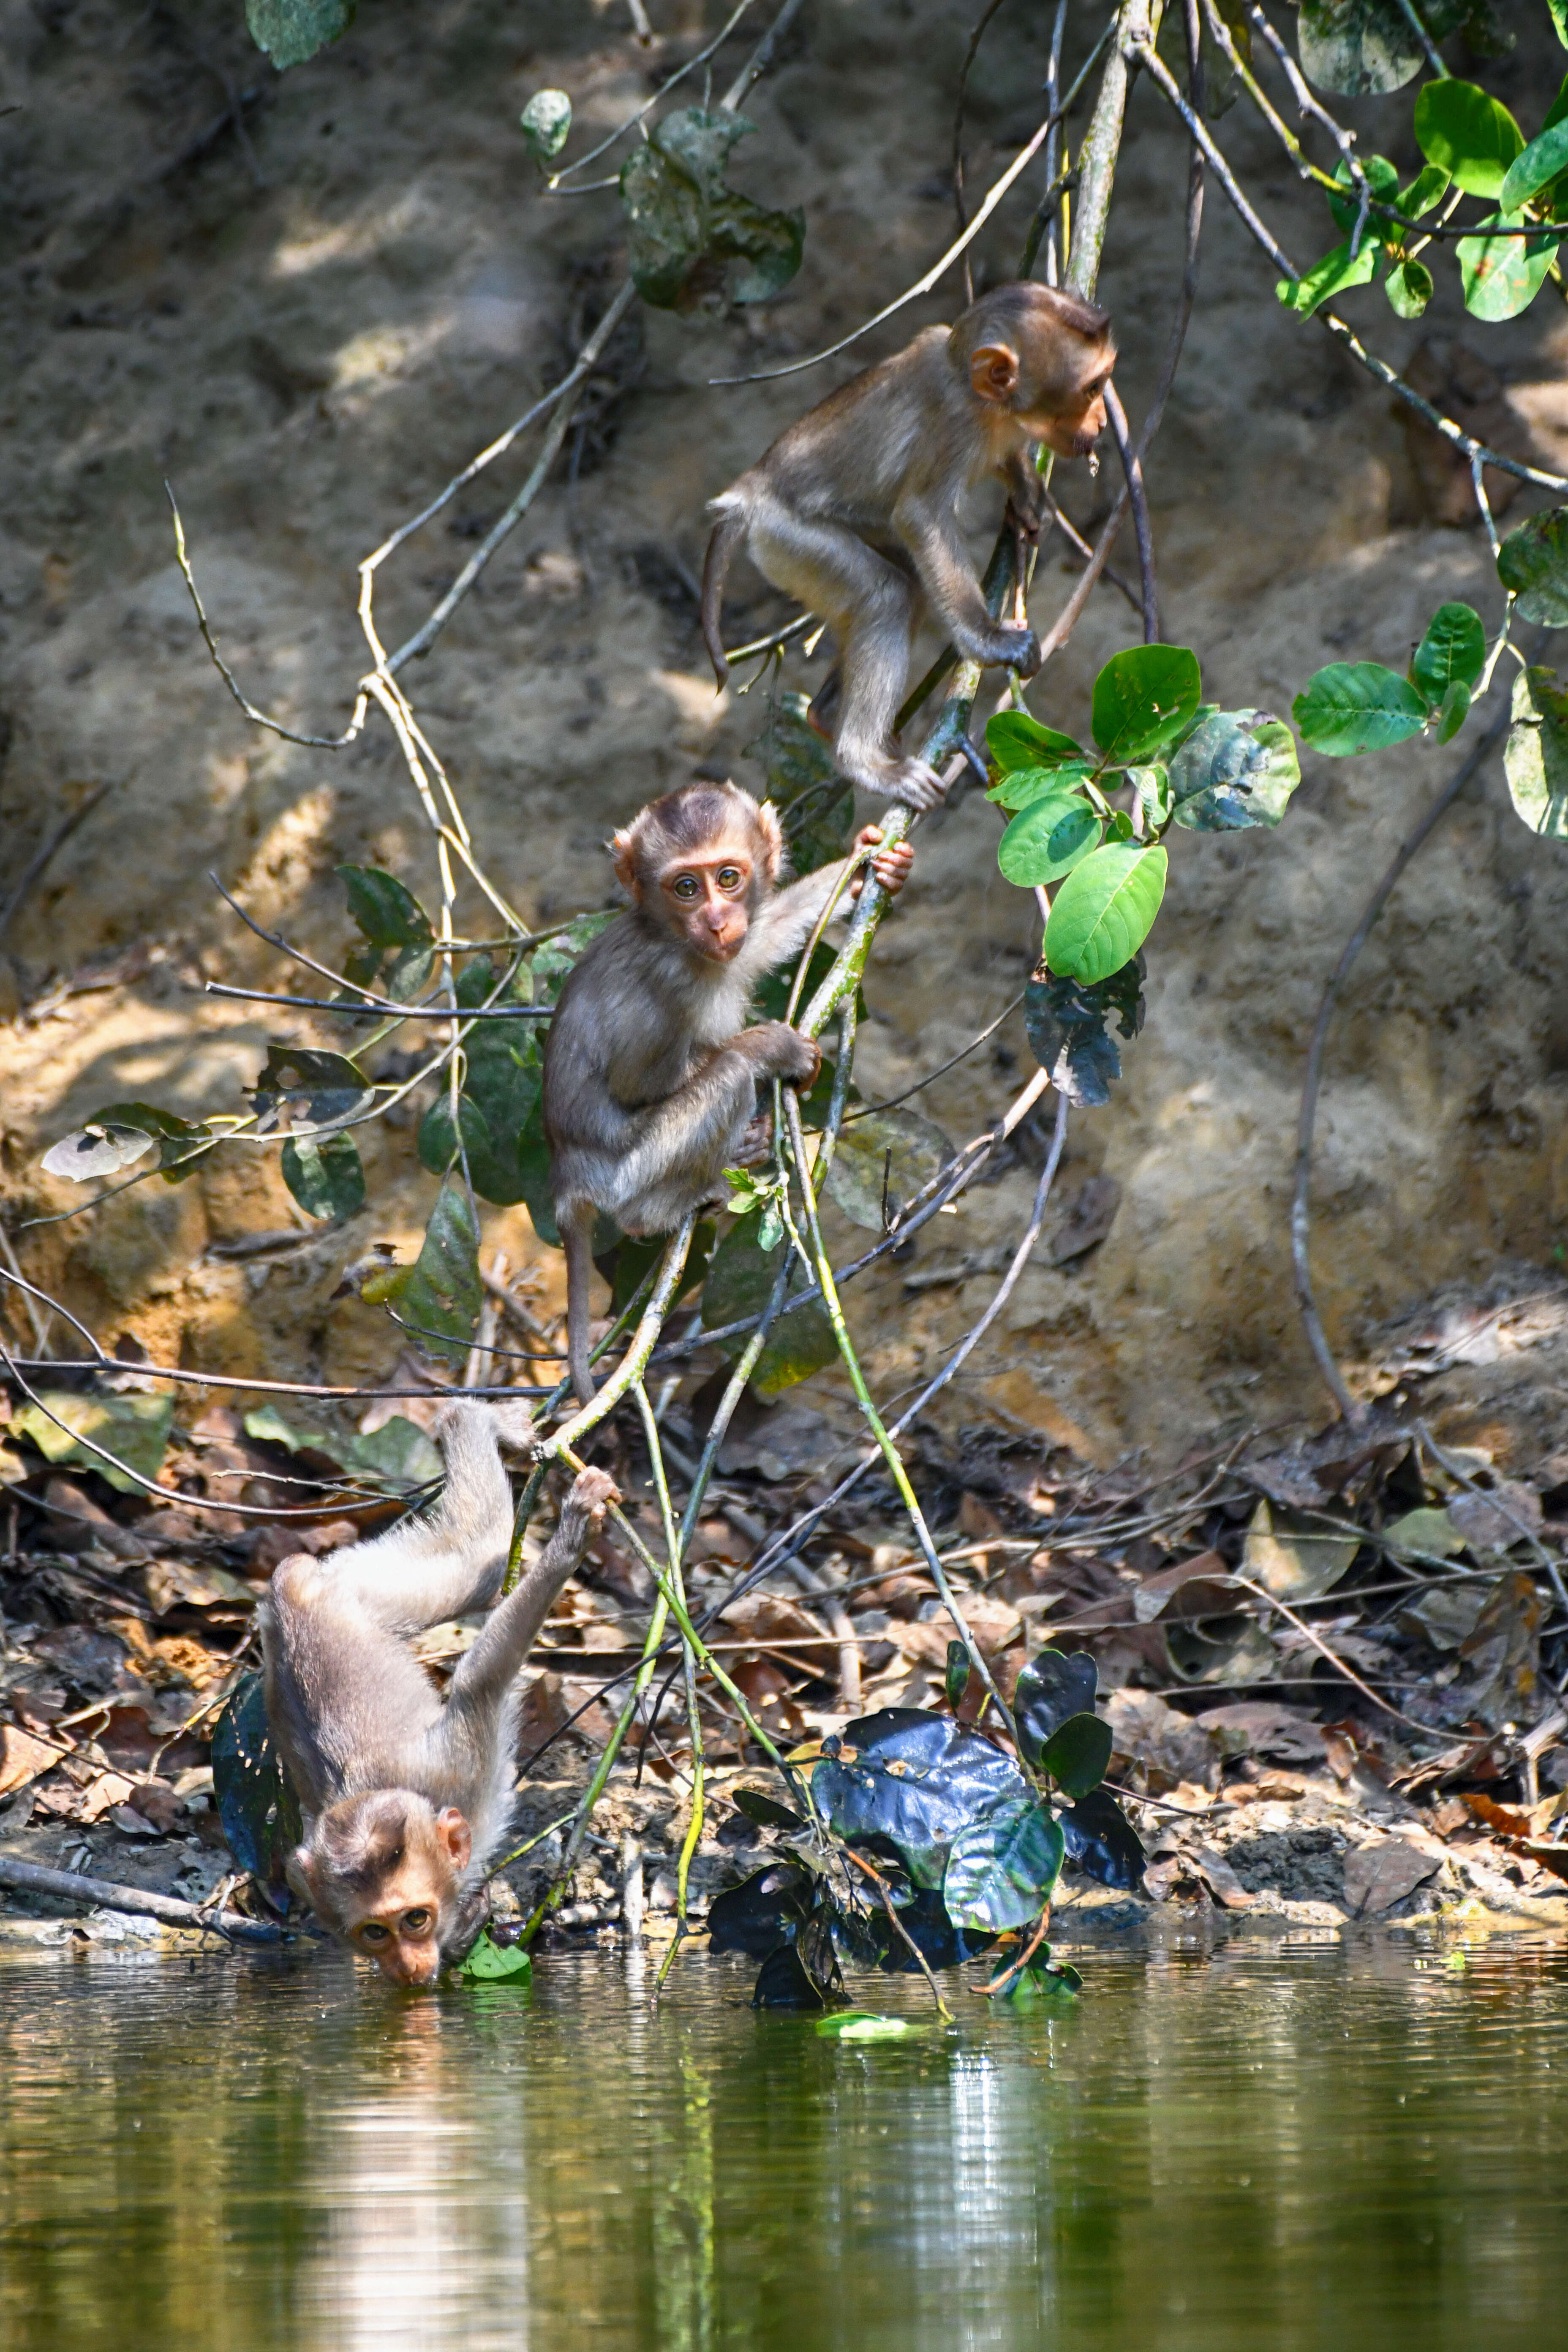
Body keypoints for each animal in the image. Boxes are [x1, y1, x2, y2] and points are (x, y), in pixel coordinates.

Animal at [259, 1392, 621, 1985]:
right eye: (374, 1933)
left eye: (415, 1920)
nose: (406, 1969)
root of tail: (294, 1593)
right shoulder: (299, 1870)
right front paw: (467, 1928)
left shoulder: (465, 1769)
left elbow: (481, 1677)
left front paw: (571, 1538)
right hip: (343, 1586)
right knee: (475, 1564)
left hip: (353, 1591)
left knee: (479, 1560)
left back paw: (475, 1419)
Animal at [541, 776, 912, 1392]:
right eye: (686, 888)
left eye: (729, 879)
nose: (716, 921)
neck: (671, 938)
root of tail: (567, 1174)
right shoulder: (668, 980)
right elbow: (638, 1084)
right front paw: (772, 1048)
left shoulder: (730, 947)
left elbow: (764, 936)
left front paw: (869, 864)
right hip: (626, 1171)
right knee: (725, 1080)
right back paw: (666, 1207)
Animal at [700, 281, 1114, 814]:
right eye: (1091, 389)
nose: (1102, 423)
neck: (980, 398)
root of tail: (747, 495)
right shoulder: (953, 426)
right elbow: (920, 515)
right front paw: (987, 640)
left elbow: (1003, 460)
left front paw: (1026, 493)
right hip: (786, 538)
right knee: (886, 594)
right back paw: (864, 761)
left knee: (910, 584)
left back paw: (825, 713)